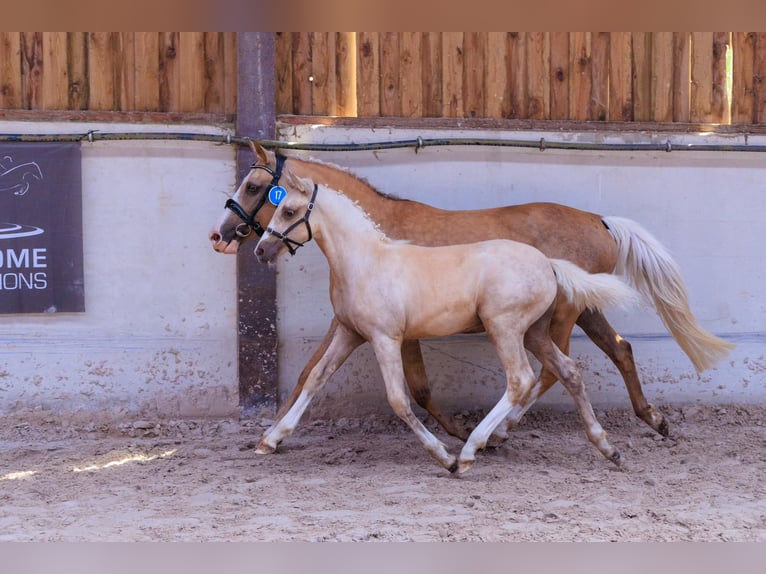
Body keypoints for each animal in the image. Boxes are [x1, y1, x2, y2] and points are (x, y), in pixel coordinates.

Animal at [255, 169, 640, 474]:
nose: (261, 250)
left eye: (289, 210)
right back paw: (609, 448)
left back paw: (470, 451)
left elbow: (399, 399)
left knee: (521, 380)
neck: (366, 261)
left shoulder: (385, 338)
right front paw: (271, 440)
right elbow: (316, 377)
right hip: (534, 333)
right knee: (568, 371)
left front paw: (444, 456)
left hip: (504, 327)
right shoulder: (350, 333)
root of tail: (548, 263)